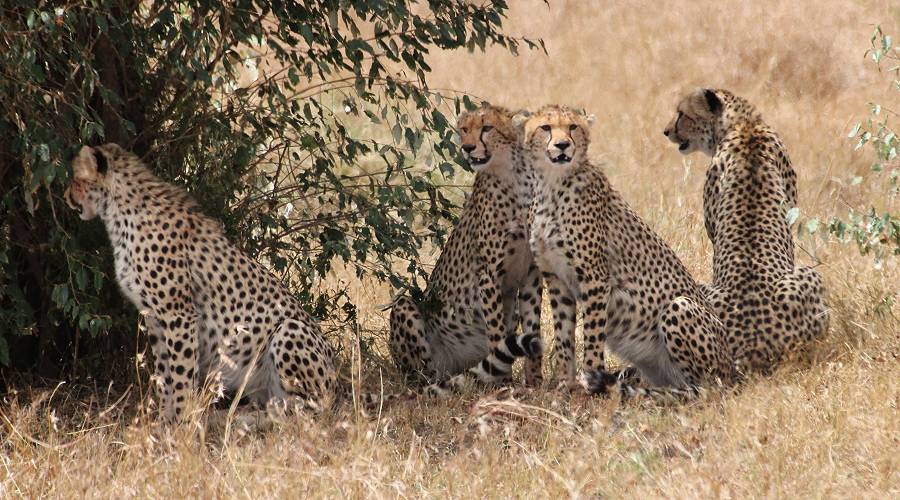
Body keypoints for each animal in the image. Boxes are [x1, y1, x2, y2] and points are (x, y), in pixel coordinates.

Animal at [65, 145, 336, 422]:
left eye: (76, 178)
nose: (66, 197)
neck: (120, 211)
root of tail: (335, 385)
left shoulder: (179, 314)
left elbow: (181, 374)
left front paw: (182, 420)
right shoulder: (154, 317)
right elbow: (164, 372)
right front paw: (165, 418)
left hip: (290, 331)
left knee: (306, 412)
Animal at [384, 105, 540, 394]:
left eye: (487, 128)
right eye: (464, 129)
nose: (467, 148)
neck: (515, 177)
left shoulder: (532, 274)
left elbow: (533, 327)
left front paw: (536, 383)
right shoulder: (489, 275)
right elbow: (496, 333)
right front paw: (503, 384)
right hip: (406, 308)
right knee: (424, 374)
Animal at [516, 106, 736, 398]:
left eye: (573, 127)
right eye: (546, 128)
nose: (563, 145)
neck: (552, 184)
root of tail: (733, 368)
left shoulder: (594, 278)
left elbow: (593, 335)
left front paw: (591, 383)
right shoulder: (556, 278)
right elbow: (564, 336)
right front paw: (565, 386)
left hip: (680, 307)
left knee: (706, 387)